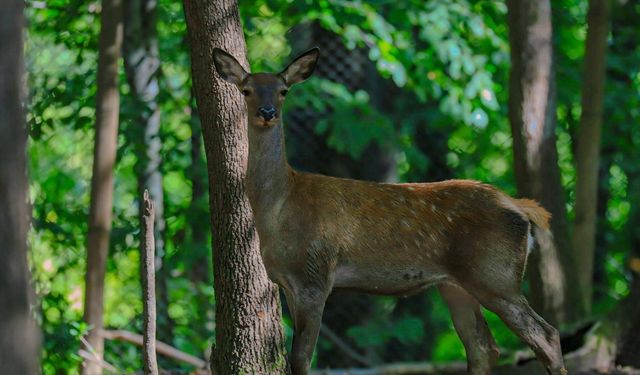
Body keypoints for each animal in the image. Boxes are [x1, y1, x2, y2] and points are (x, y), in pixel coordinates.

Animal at [212, 47, 568, 375]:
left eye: (283, 90)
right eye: (247, 89)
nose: (267, 111)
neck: (278, 209)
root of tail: (520, 208)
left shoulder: (315, 274)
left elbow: (300, 359)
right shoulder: (286, 281)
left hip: (495, 273)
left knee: (545, 335)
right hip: (455, 284)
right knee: (483, 347)